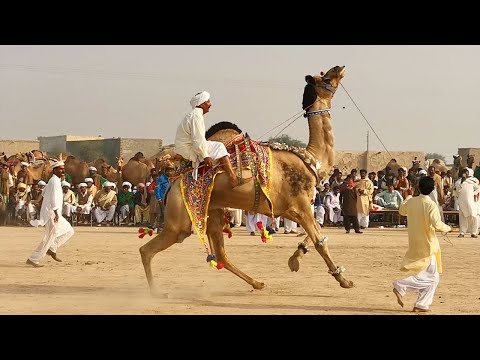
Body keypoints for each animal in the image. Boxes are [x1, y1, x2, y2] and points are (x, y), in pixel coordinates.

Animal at [138, 64, 352, 296]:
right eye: (326, 78)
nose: (339, 67)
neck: (311, 159)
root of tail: (172, 184)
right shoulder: (301, 205)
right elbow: (320, 241)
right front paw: (344, 280)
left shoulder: (288, 209)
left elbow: (317, 232)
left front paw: (295, 259)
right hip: (180, 220)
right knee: (147, 250)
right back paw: (155, 292)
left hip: (212, 212)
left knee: (220, 255)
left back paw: (257, 283)